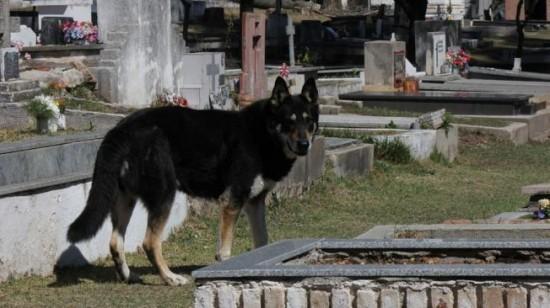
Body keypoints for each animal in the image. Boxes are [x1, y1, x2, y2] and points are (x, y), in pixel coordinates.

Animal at [67, 77, 322, 286]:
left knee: (115, 243)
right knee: (149, 242)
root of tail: (121, 129)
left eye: (308, 121)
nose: (304, 145)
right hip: (165, 195)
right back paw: (170, 278)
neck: (263, 133)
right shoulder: (232, 201)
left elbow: (263, 242)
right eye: (289, 122)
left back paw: (128, 276)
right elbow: (225, 249)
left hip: (126, 200)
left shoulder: (254, 202)